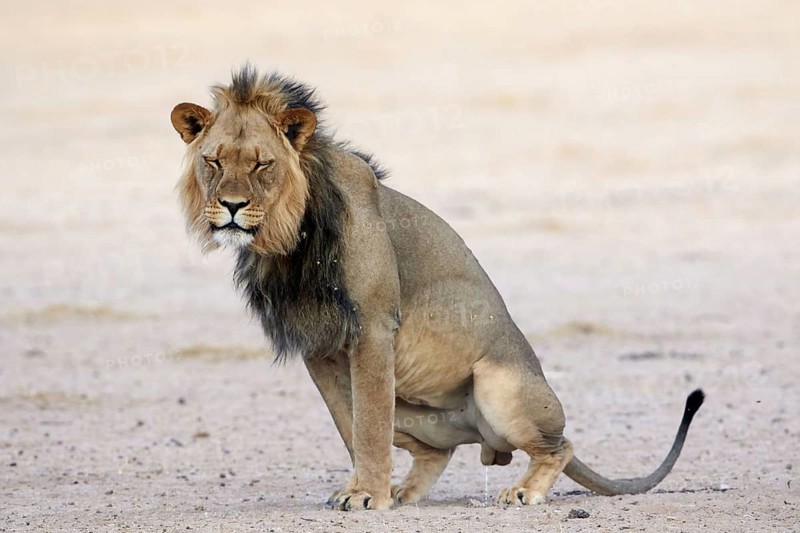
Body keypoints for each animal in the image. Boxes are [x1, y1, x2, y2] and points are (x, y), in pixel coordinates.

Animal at [170, 65, 705, 511]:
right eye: (214, 161)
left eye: (262, 165)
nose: (232, 206)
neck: (286, 241)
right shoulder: (319, 345)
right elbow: (352, 423)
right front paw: (367, 489)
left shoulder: (374, 328)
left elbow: (368, 425)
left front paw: (368, 497)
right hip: (420, 415)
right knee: (435, 452)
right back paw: (405, 492)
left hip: (499, 386)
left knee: (561, 445)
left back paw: (522, 492)